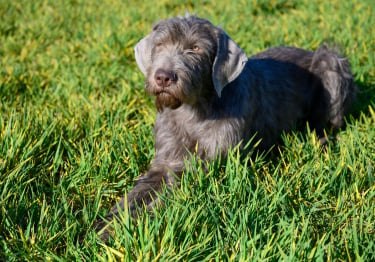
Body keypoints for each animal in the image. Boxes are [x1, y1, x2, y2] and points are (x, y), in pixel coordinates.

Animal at [95, 14, 356, 239]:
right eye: (159, 44)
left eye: (195, 48)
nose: (163, 77)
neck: (194, 112)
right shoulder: (165, 162)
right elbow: (136, 193)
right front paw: (105, 224)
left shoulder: (213, 167)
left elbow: (170, 193)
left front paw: (122, 228)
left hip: (332, 64)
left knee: (328, 123)